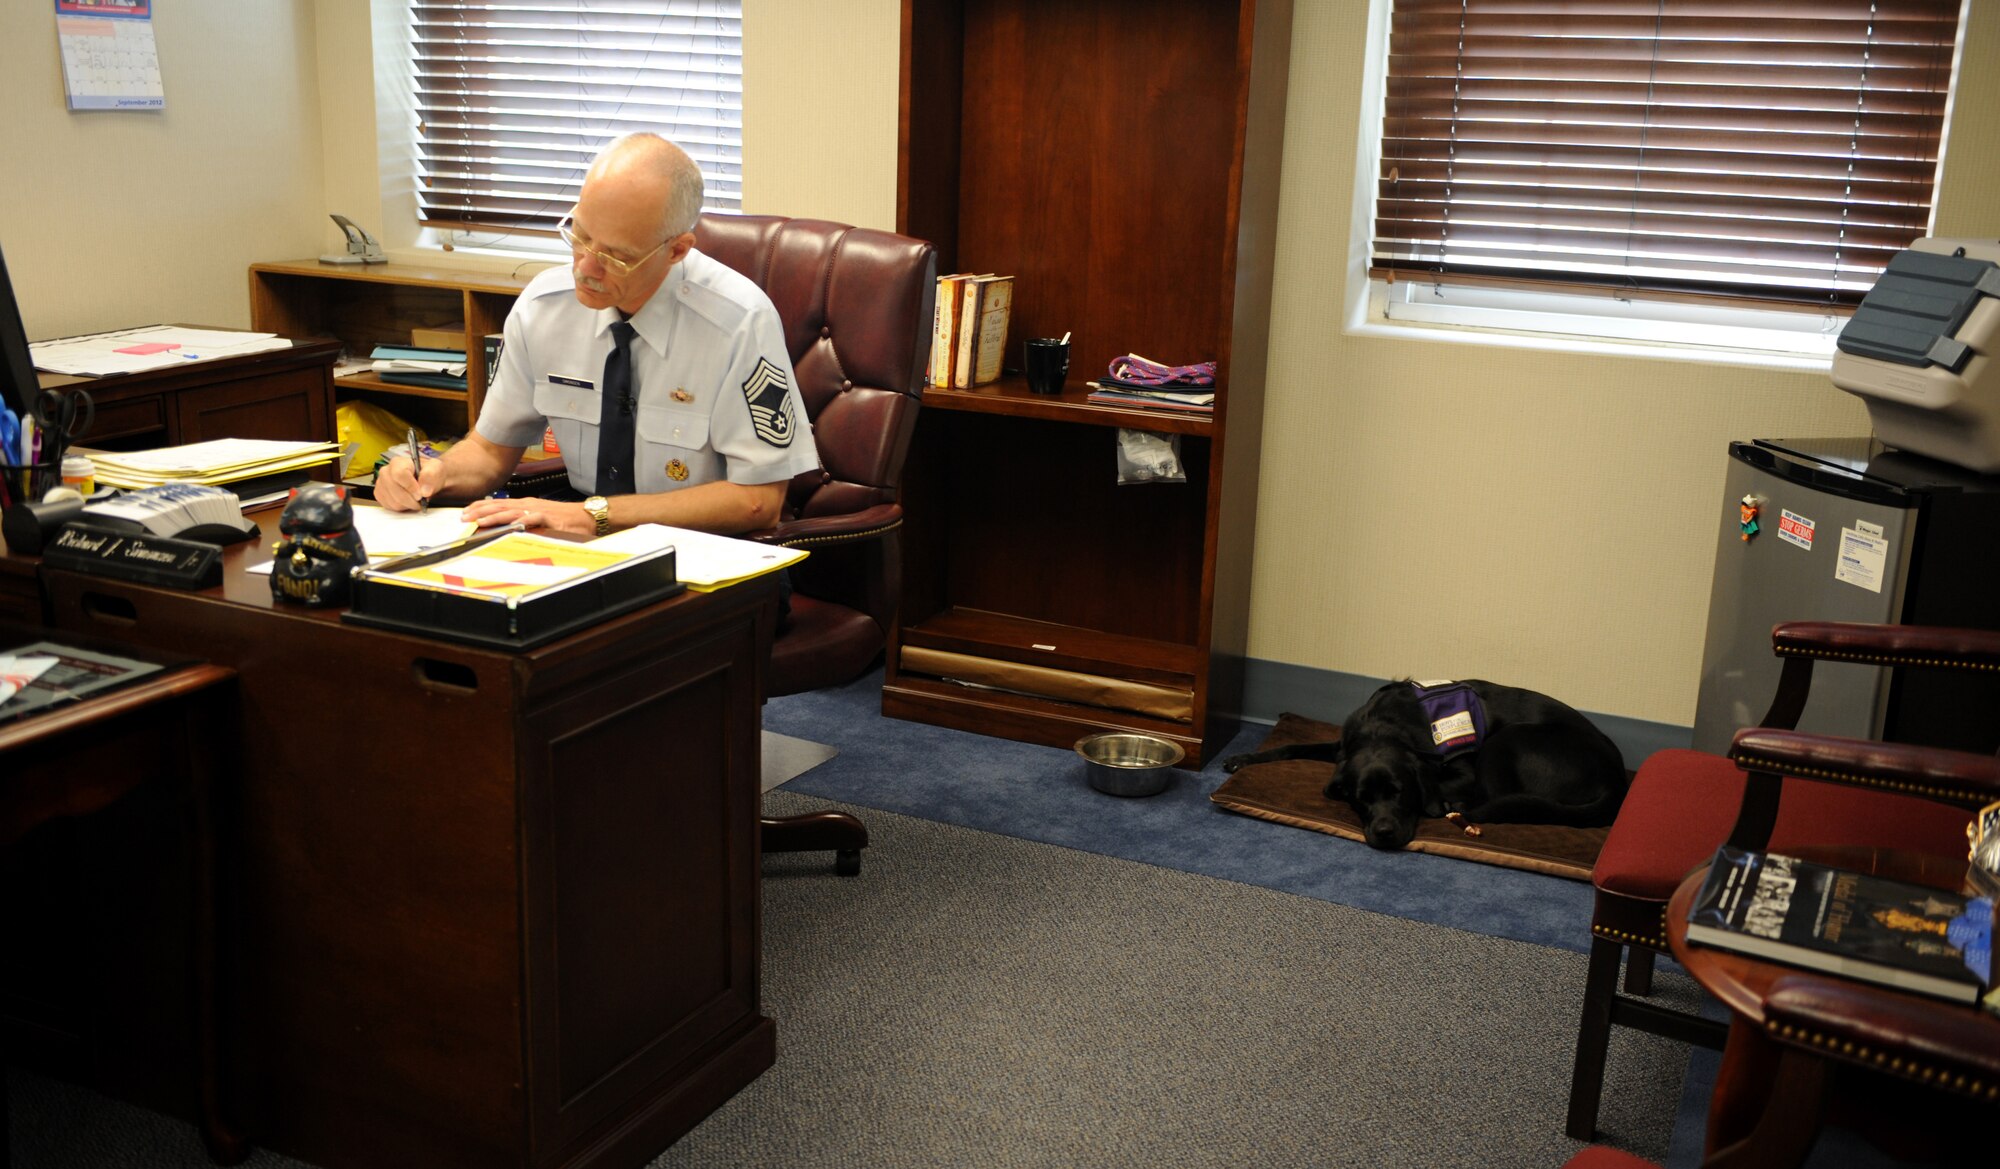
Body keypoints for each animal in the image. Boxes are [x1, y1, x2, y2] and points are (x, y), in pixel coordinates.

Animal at [1216, 676, 1624, 848]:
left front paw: (1438, 802)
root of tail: (1617, 775)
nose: (1383, 833)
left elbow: (1441, 787)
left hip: (1508, 739)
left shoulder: (1463, 772)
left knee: (1494, 797)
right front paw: (1245, 757)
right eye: (1361, 798)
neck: (1386, 726)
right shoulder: (1342, 747)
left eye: (1401, 792)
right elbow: (1292, 746)